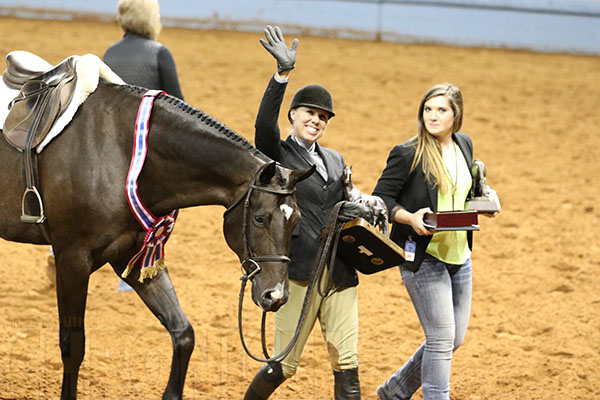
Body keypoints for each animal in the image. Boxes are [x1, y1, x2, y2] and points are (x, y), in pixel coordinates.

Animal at [0, 79, 312, 398]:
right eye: (260, 218)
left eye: (296, 221)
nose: (276, 295)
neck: (120, 153)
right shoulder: (72, 259)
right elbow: (73, 347)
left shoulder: (134, 256)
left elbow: (183, 333)